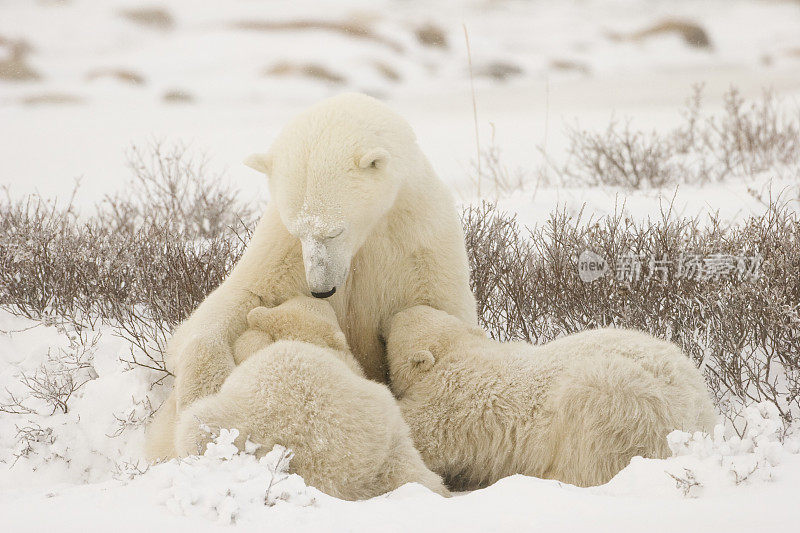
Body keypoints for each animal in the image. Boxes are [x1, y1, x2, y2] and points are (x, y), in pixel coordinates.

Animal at [148, 92, 478, 458]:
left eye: (335, 231)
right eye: (299, 230)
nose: (321, 289)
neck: (369, 235)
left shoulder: (420, 242)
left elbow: (436, 312)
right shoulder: (282, 248)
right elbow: (241, 298)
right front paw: (202, 386)